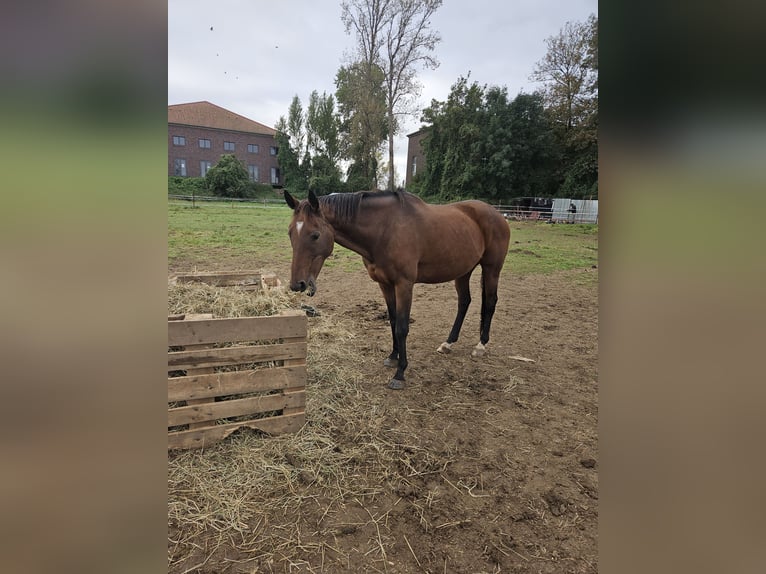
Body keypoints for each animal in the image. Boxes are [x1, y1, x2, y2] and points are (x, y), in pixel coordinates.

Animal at [284, 189, 512, 392]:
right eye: (290, 233)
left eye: (315, 235)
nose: (298, 284)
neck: (384, 229)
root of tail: (497, 214)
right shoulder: (385, 284)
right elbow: (393, 321)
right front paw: (393, 357)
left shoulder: (404, 285)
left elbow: (402, 327)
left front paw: (400, 373)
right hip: (463, 271)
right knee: (464, 302)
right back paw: (448, 343)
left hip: (492, 269)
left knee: (490, 302)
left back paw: (481, 345)